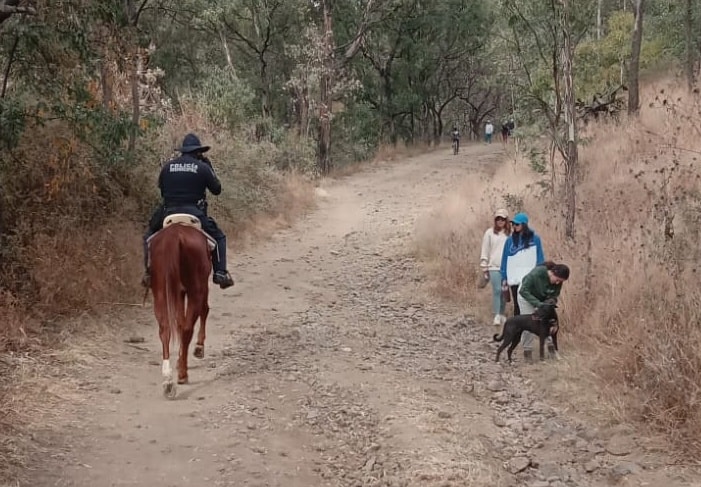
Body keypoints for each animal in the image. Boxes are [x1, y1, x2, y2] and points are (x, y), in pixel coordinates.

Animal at [148, 219, 212, 398]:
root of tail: (175, 236)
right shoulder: (199, 288)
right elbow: (203, 311)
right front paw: (198, 348)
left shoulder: (178, 292)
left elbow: (178, 321)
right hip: (196, 290)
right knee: (188, 327)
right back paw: (182, 374)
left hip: (160, 292)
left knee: (165, 330)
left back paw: (168, 381)